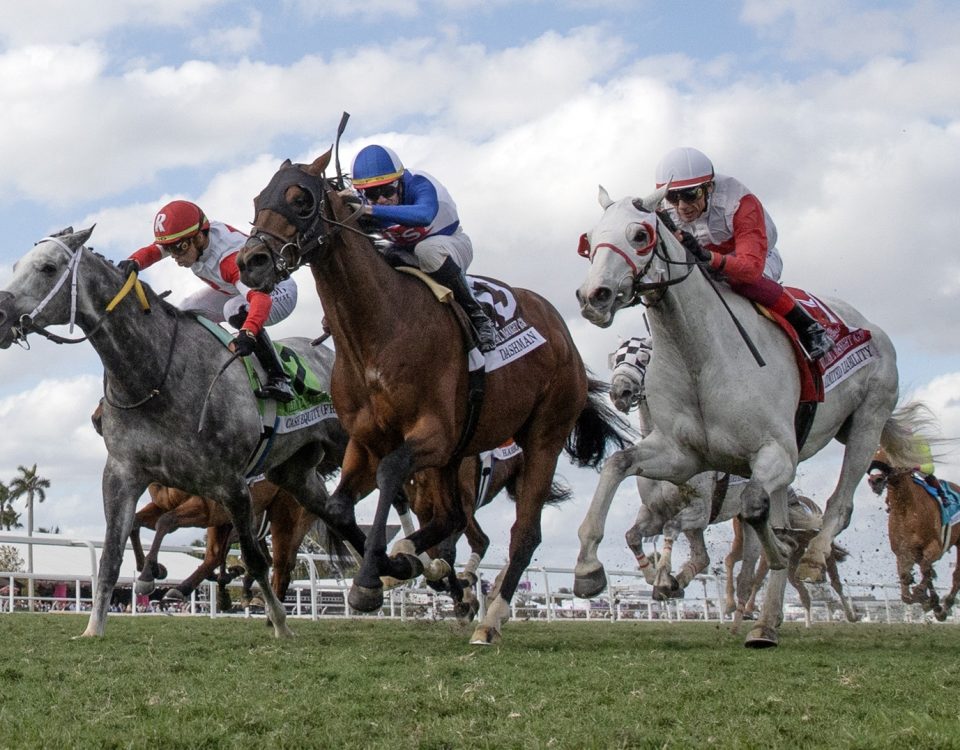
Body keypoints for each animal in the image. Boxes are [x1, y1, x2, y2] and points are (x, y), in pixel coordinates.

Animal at [0, 226, 358, 636]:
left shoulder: (229, 486)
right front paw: (95, 626)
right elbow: (112, 555)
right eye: (16, 266)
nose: (0, 314)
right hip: (295, 474)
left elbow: (252, 558)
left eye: (47, 267)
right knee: (341, 518)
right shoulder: (123, 474)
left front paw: (282, 624)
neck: (158, 375)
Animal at [237, 148, 632, 648]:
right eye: (258, 199)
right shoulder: (366, 441)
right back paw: (427, 564)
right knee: (452, 519)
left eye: (301, 199)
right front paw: (398, 564)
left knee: (523, 533)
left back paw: (493, 616)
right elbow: (340, 509)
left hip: (543, 435)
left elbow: (389, 475)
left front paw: (370, 581)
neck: (377, 331)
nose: (251, 261)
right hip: (458, 454)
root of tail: (560, 329)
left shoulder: (432, 434)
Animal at [572, 187, 912, 648]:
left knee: (838, 506)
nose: (595, 296)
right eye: (589, 240)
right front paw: (588, 568)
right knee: (779, 521)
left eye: (640, 235)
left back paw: (808, 564)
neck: (699, 356)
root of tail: (869, 326)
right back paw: (765, 622)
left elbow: (751, 508)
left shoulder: (774, 454)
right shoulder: (681, 456)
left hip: (867, 421)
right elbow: (617, 465)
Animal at [868, 438, 956, 620]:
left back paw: (945, 605)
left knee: (955, 575)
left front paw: (925, 597)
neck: (906, 510)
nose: (875, 480)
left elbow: (925, 569)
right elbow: (906, 591)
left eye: (890, 454)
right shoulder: (903, 552)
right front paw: (928, 601)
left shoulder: (934, 547)